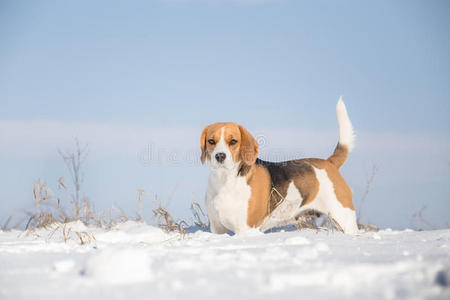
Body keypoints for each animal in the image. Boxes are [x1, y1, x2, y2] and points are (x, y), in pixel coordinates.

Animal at [200, 98, 358, 234]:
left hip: (344, 218)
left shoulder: (246, 229)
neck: (224, 180)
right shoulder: (217, 228)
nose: (220, 156)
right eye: (211, 141)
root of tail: (329, 162)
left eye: (233, 141)